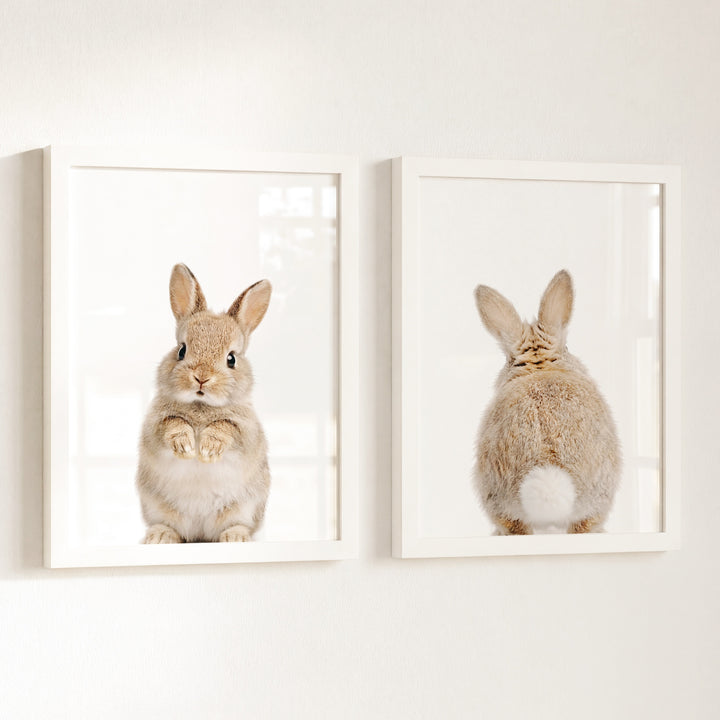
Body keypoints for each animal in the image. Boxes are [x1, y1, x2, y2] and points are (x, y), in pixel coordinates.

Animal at [136, 263, 272, 544]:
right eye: (181, 350)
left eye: (231, 359)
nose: (201, 377)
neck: (201, 406)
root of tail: (200, 534)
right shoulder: (155, 426)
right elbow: (173, 424)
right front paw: (186, 446)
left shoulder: (246, 431)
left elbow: (225, 428)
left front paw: (207, 450)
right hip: (157, 507)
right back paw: (160, 536)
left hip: (245, 508)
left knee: (236, 525)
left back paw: (236, 538)